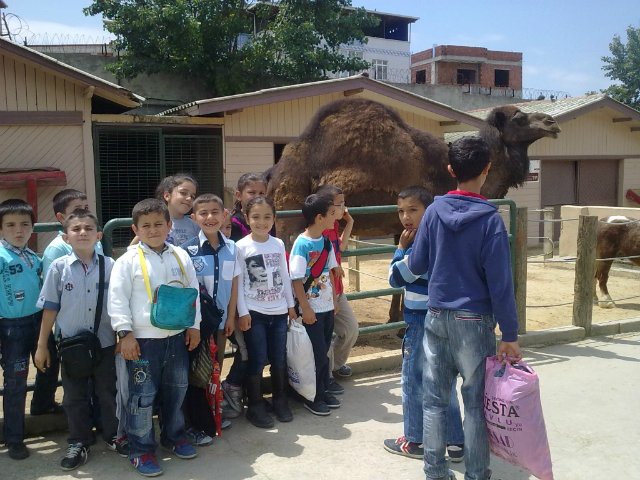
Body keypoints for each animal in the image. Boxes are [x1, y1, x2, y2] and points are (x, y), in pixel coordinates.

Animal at [264, 98, 560, 320]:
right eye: (518, 118)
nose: (551, 122)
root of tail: (274, 175)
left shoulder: (402, 224)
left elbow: (400, 271)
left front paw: (394, 318)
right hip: (290, 216)